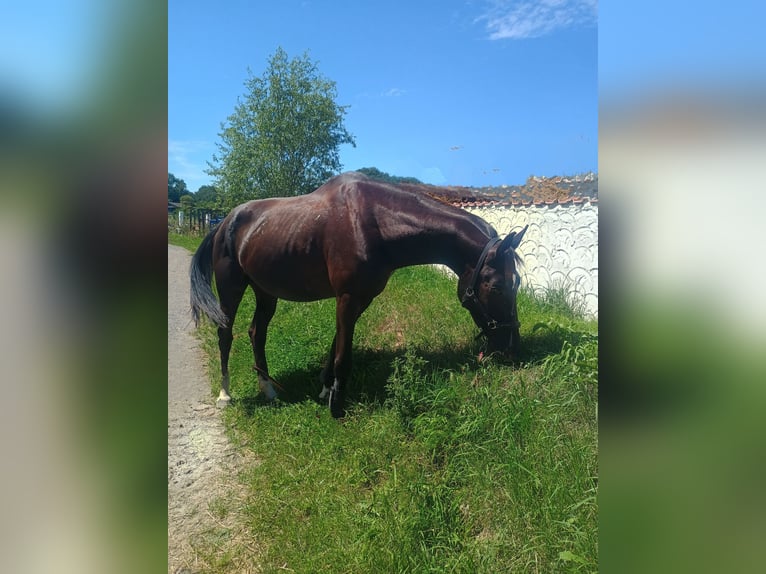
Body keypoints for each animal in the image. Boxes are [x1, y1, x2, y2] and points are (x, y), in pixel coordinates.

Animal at [190, 172, 528, 418]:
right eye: (497, 287)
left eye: (518, 283)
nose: (512, 348)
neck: (374, 221)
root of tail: (224, 222)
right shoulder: (348, 298)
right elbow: (344, 355)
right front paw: (336, 406)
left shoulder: (360, 299)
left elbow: (336, 344)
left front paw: (326, 388)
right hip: (232, 288)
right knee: (225, 334)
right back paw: (225, 394)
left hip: (265, 291)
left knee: (256, 333)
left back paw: (269, 389)